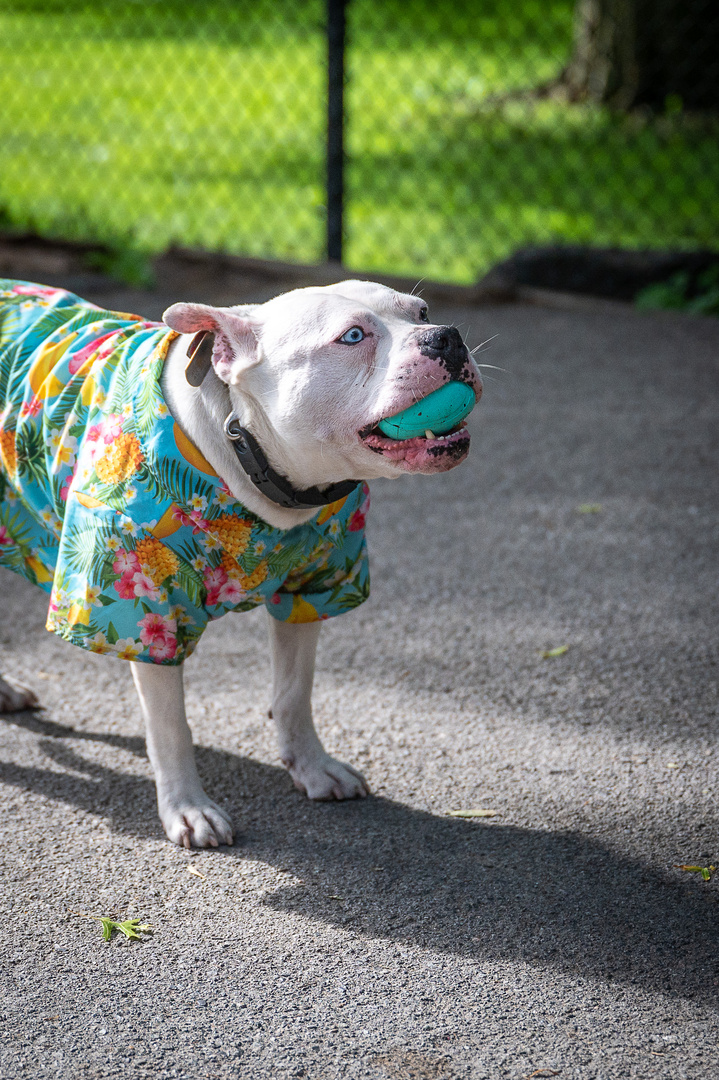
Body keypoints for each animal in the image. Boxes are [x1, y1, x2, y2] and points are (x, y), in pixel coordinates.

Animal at [0, 276, 481, 842]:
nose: (446, 336)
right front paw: (187, 808)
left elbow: (295, 692)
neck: (248, 451)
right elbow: (171, 724)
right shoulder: (146, 610)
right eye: (353, 336)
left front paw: (312, 768)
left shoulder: (312, 589)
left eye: (422, 311)